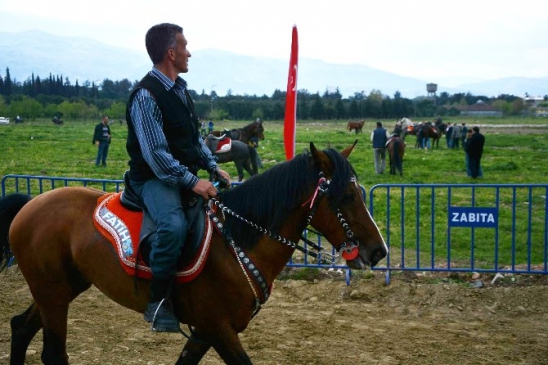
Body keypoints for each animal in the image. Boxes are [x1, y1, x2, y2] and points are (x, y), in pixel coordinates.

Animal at [0, 141, 388, 364]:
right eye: (347, 197)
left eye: (359, 193)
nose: (379, 252)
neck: (235, 243)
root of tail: (30, 204)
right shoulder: (217, 328)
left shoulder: (204, 332)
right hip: (52, 292)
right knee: (52, 352)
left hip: (63, 288)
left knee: (20, 328)